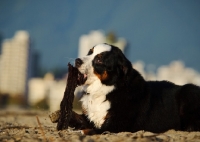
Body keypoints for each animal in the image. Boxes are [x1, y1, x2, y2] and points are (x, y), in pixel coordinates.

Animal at [68, 43, 200, 135]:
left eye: (99, 59)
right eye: (89, 52)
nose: (77, 60)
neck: (107, 89)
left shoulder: (117, 124)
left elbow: (93, 130)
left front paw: (80, 131)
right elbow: (78, 117)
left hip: (188, 91)